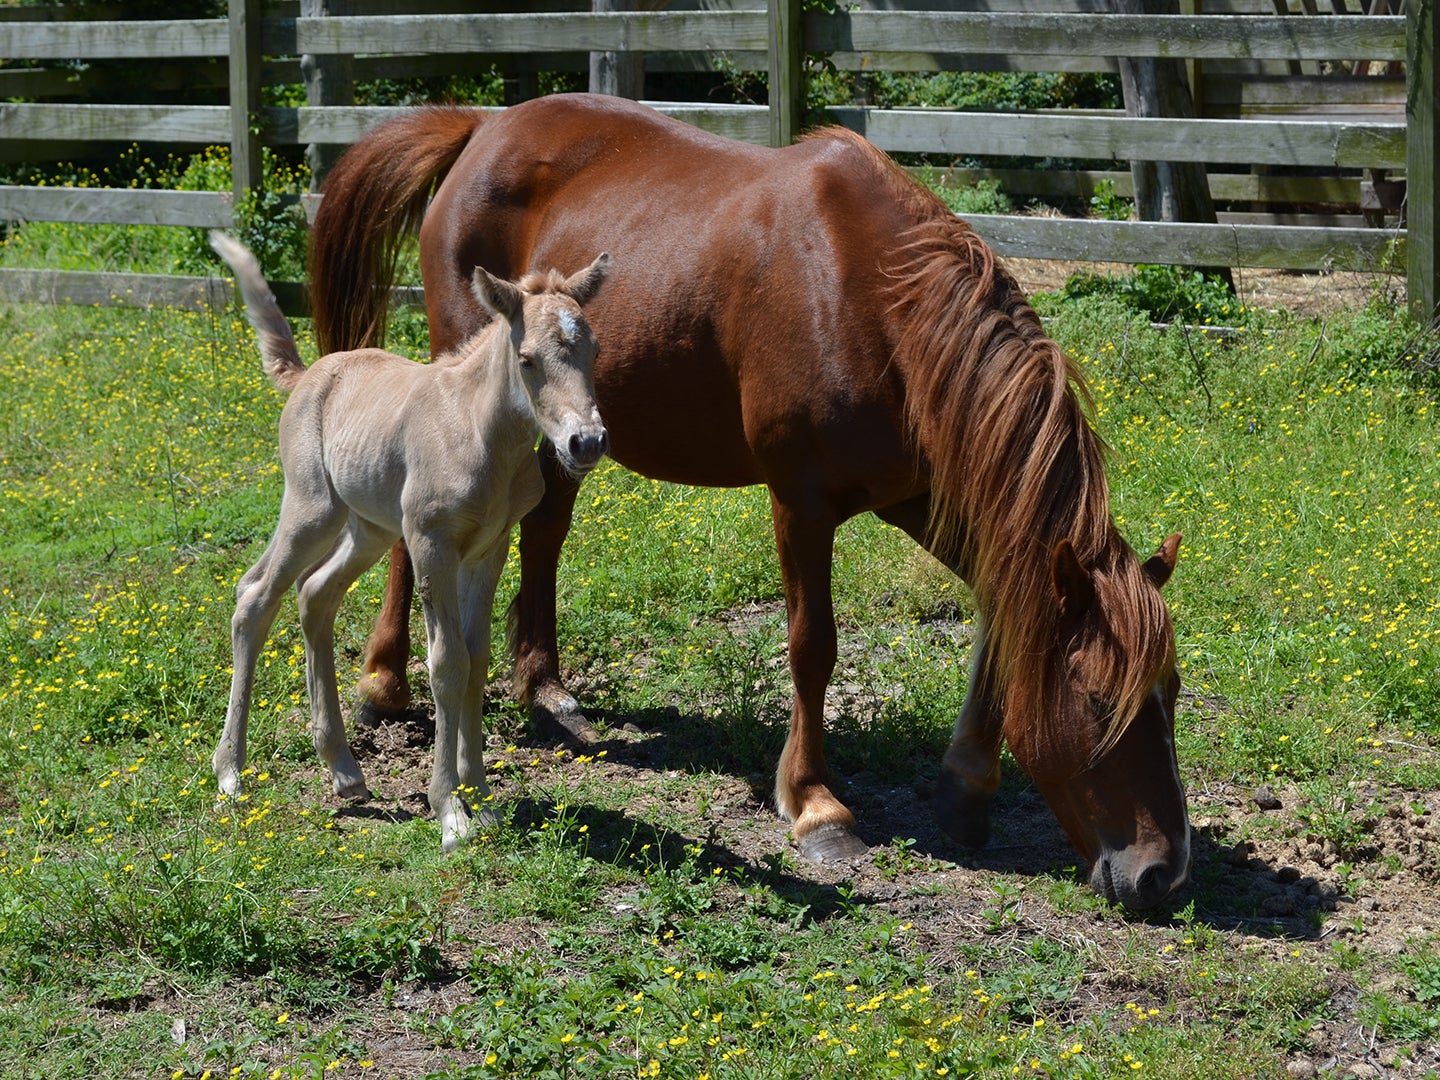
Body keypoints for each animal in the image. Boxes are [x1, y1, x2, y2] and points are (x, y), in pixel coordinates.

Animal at [208, 233, 607, 852]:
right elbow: (446, 661)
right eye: (527, 360)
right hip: (312, 509)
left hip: (368, 528)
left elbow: (477, 657)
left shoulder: (488, 548)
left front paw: (480, 798)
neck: (480, 432)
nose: (585, 442)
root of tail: (306, 376)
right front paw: (449, 811)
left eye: (593, 352)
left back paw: (344, 769)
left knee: (315, 594)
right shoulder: (430, 541)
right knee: (255, 596)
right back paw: (230, 772)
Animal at [306, 92, 1192, 910]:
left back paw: (546, 689)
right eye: (1099, 699)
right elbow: (812, 646)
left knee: (545, 534)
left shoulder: (928, 495)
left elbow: (999, 616)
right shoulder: (801, 499)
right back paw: (383, 684)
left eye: (1172, 692)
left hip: (555, 436)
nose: (1163, 874)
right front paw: (816, 805)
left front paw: (967, 785)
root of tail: (483, 126)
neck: (874, 299)